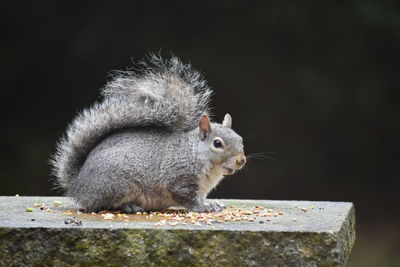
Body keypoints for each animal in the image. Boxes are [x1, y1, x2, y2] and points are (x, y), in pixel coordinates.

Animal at [51, 56, 245, 214]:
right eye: (218, 144)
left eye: (240, 139)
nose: (241, 160)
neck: (196, 154)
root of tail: (78, 185)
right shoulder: (178, 180)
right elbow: (187, 198)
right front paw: (203, 207)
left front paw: (213, 204)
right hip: (117, 185)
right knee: (103, 205)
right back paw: (129, 206)